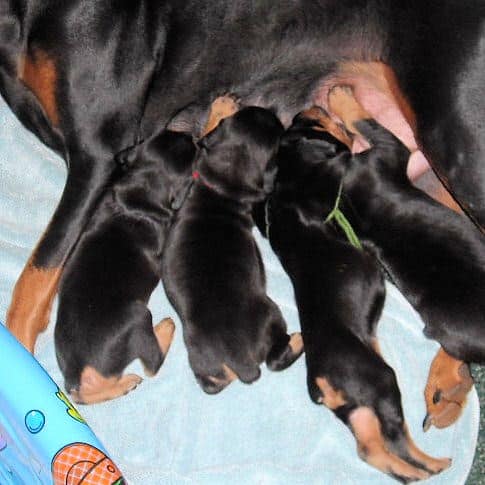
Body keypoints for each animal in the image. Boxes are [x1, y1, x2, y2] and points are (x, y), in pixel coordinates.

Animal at [54, 130, 195, 402]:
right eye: (193, 150)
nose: (191, 135)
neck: (135, 199)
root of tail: (79, 371)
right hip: (139, 317)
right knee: (152, 366)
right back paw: (165, 329)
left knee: (85, 394)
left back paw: (123, 384)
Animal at [162, 107, 302, 394]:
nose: (272, 110)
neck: (224, 182)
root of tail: (243, 363)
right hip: (272, 314)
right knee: (275, 358)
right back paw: (298, 339)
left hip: (202, 360)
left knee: (213, 384)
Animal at [258, 109, 450, 480]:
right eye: (312, 125)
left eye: (300, 123)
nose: (308, 109)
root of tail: (320, 382)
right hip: (380, 384)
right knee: (394, 437)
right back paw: (428, 466)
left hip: (357, 406)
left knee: (369, 448)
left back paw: (414, 470)